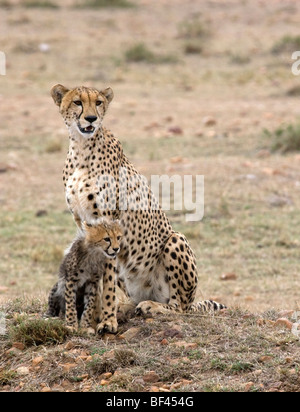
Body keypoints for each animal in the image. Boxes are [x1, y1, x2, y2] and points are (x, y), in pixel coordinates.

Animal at [51, 83, 225, 326]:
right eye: (77, 102)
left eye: (98, 102)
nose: (91, 118)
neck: (81, 148)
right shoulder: (83, 224)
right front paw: (94, 316)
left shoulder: (110, 221)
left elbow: (107, 279)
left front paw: (107, 321)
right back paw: (128, 307)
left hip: (175, 240)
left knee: (180, 307)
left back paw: (152, 306)